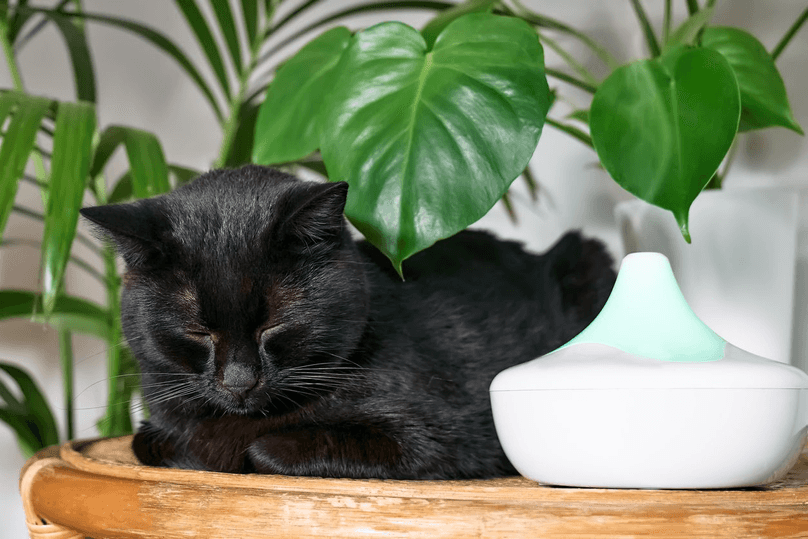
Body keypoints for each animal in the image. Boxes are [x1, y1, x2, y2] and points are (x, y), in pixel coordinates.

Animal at [80, 166, 612, 480]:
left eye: (273, 326)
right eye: (197, 331)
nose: (239, 382)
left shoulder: (437, 441)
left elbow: (265, 450)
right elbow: (147, 440)